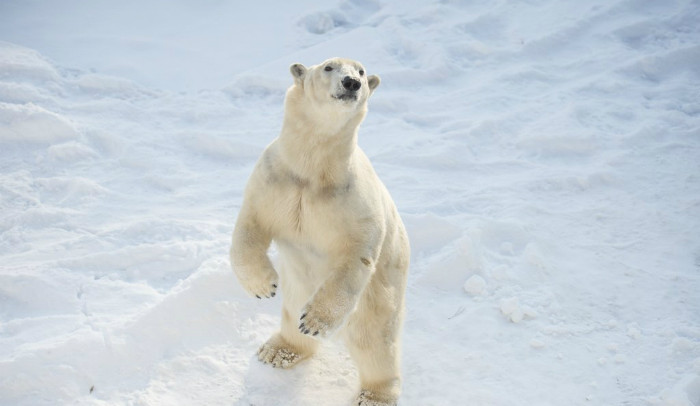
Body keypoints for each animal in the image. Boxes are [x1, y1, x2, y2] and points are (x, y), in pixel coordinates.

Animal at [230, 58, 410, 406]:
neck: (314, 167)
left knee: (375, 339)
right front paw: (263, 286)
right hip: (297, 286)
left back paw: (374, 396)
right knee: (291, 313)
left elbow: (358, 251)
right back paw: (277, 350)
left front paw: (314, 321)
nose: (352, 83)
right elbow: (250, 225)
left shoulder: (353, 198)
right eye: (329, 67)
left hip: (384, 286)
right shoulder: (274, 180)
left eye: (362, 70)